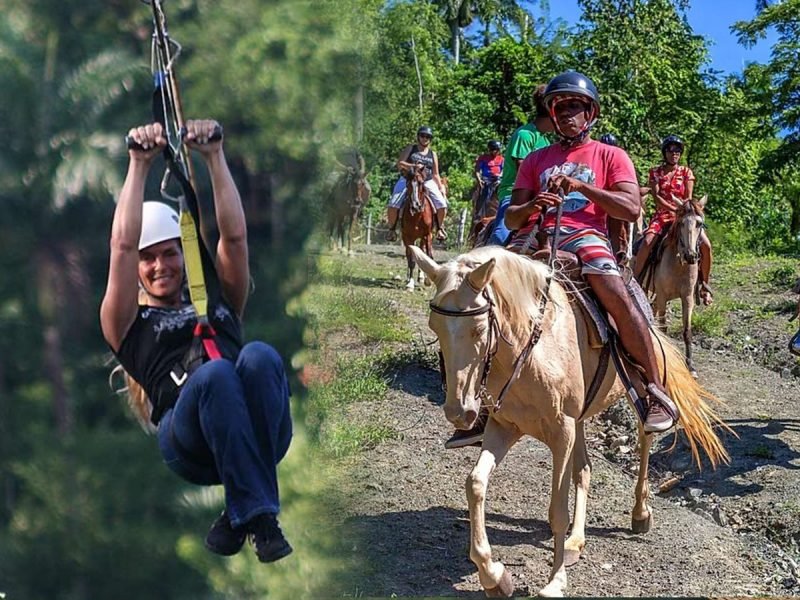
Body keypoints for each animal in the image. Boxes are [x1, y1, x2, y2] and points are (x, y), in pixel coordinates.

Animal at [412, 245, 732, 600]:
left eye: (479, 329)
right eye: (435, 327)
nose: (460, 412)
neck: (534, 348)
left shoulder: (561, 434)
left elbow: (557, 511)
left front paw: (555, 581)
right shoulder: (504, 427)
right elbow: (476, 484)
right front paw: (494, 576)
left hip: (635, 396)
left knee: (644, 444)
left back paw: (640, 512)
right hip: (577, 422)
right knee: (585, 469)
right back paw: (575, 542)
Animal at [644, 197, 708, 376]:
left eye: (699, 223)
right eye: (681, 223)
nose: (691, 255)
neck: (678, 265)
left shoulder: (687, 298)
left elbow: (687, 331)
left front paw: (690, 366)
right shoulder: (663, 296)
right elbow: (664, 328)